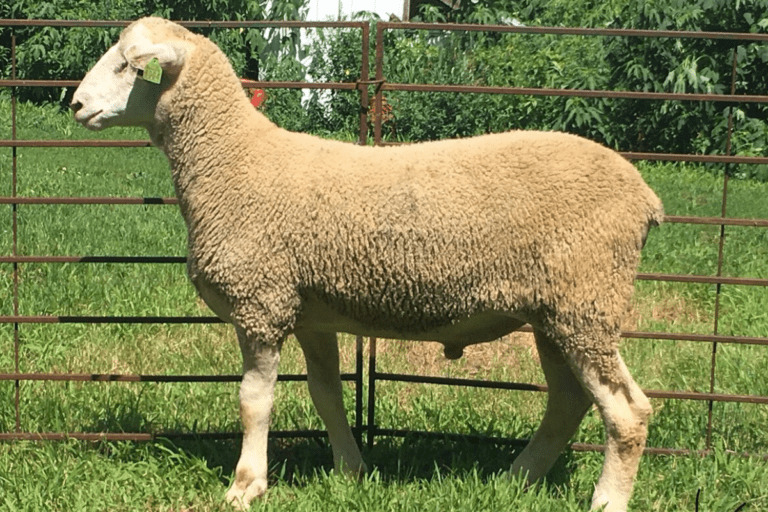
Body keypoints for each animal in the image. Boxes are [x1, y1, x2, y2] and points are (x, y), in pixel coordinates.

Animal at [70, 17, 664, 512]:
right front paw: (351, 471)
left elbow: (254, 401)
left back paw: (606, 500)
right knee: (568, 402)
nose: (74, 104)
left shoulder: (261, 302)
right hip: (557, 311)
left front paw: (246, 486)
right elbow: (326, 395)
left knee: (627, 412)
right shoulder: (309, 311)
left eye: (129, 65)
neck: (234, 160)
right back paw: (515, 480)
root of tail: (644, 196)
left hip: (586, 300)